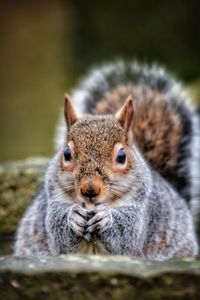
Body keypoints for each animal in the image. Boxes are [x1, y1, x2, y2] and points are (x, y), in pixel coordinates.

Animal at [13, 61, 199, 260]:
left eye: (122, 156)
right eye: (66, 154)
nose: (90, 189)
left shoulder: (143, 211)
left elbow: (127, 236)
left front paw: (105, 217)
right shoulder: (52, 203)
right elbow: (58, 232)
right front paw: (73, 216)